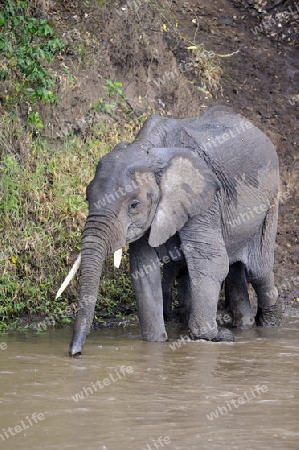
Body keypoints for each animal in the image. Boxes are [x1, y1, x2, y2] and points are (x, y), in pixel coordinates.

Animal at [57, 105, 282, 356]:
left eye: (134, 205)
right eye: (87, 198)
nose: (75, 353)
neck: (147, 149)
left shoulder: (204, 200)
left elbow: (210, 261)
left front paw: (213, 336)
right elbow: (144, 269)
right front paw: (156, 342)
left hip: (271, 201)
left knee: (258, 270)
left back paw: (269, 325)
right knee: (234, 270)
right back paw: (245, 326)